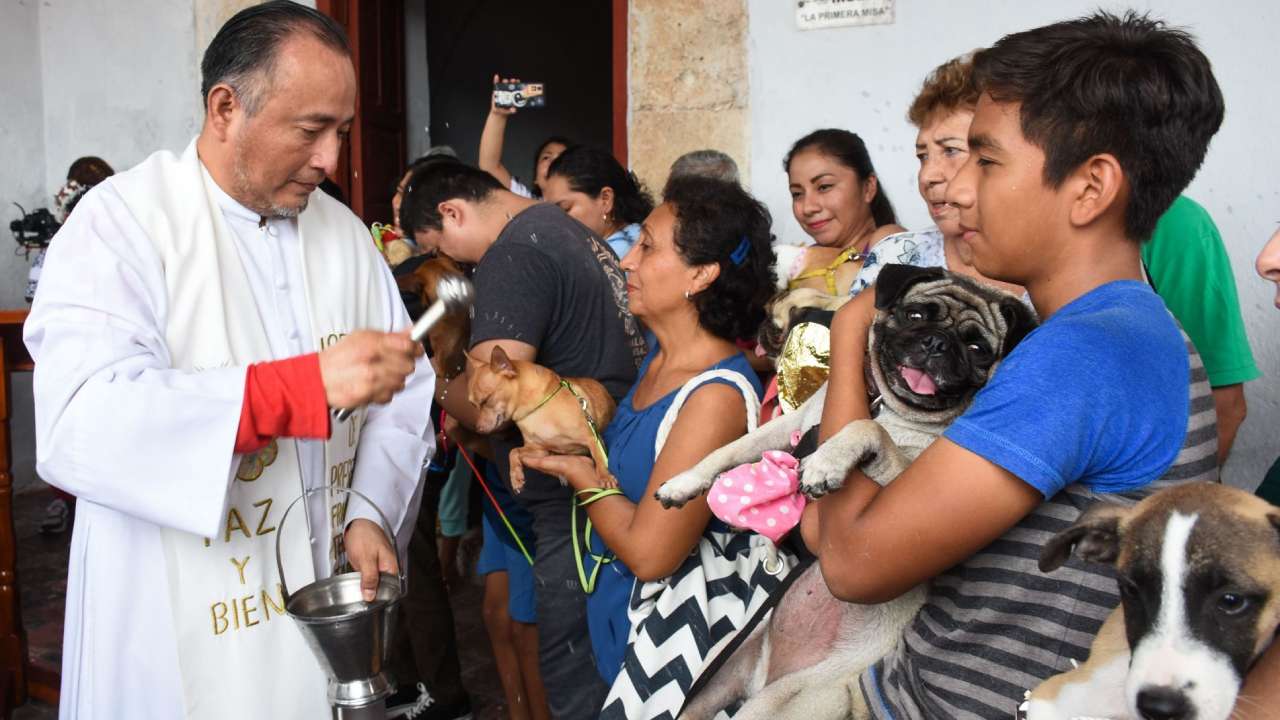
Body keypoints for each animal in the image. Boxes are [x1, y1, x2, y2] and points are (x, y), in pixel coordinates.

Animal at [468, 345, 616, 489]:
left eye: (486, 400)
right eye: (473, 405)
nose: (477, 429)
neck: (536, 411)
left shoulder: (592, 439)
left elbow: (599, 458)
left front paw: (605, 476)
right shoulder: (539, 450)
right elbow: (513, 451)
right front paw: (515, 476)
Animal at [660, 265, 1039, 717]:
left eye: (978, 347)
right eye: (915, 315)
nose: (937, 342)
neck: (884, 403)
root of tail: (760, 680)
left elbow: (865, 428)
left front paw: (827, 462)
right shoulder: (789, 428)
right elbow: (727, 451)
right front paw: (683, 482)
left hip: (785, 702)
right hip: (718, 673)